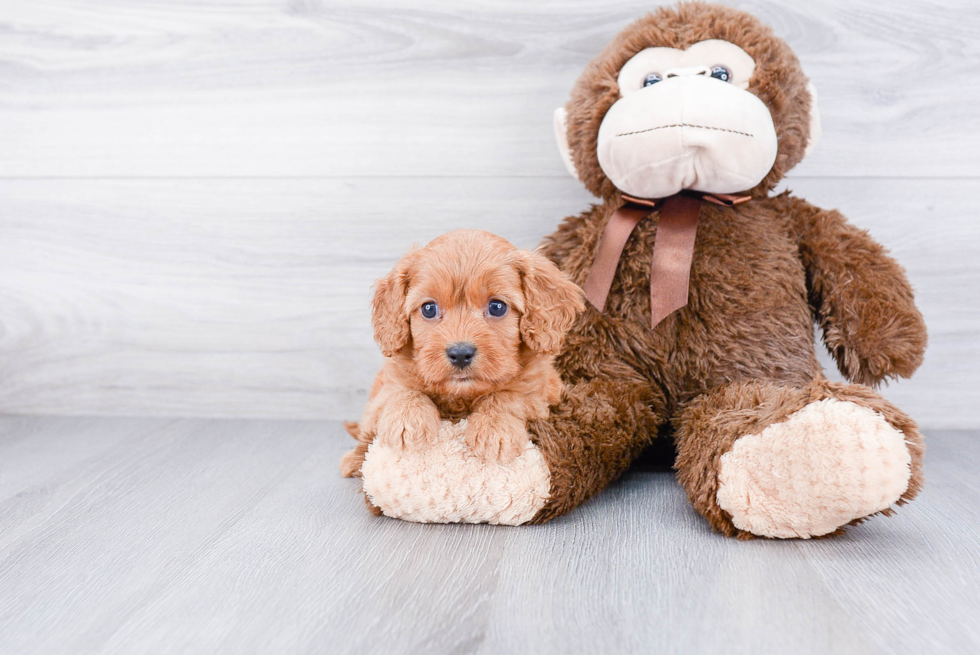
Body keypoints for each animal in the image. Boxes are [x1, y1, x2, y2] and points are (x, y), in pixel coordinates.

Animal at [340, 228, 580, 474]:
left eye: (497, 307)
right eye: (429, 308)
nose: (461, 354)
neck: (461, 396)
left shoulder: (545, 391)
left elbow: (509, 395)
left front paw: (494, 429)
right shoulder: (384, 390)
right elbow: (401, 390)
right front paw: (407, 419)